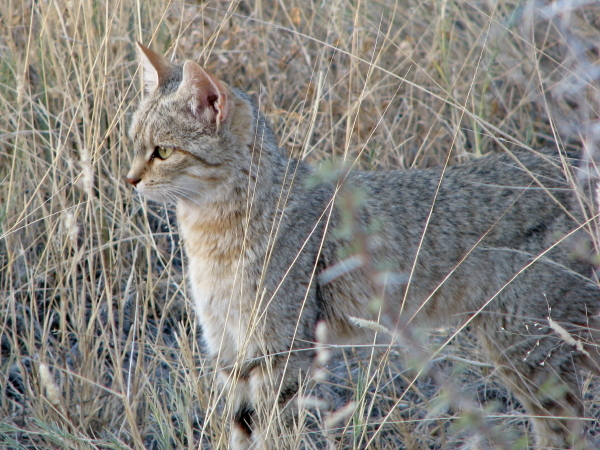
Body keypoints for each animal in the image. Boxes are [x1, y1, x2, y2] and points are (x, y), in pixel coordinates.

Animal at [126, 43, 600, 450]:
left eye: (163, 151)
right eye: (135, 144)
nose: (129, 180)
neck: (210, 235)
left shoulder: (280, 353)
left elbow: (274, 433)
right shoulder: (230, 352)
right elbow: (240, 431)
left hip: (525, 350)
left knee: (565, 429)